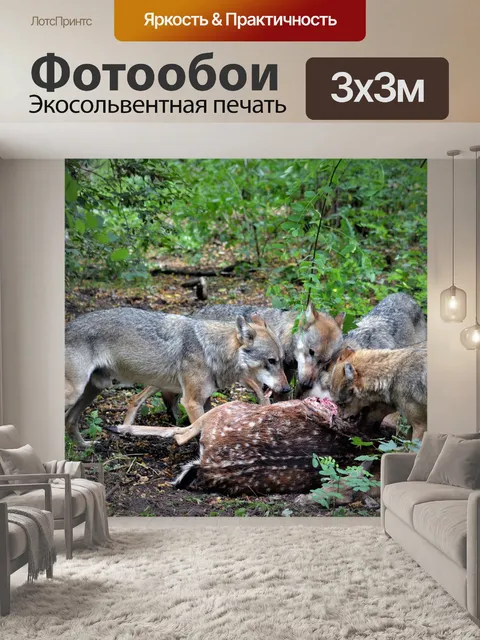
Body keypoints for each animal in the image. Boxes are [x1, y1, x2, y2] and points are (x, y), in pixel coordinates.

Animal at [65, 308, 289, 448]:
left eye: (282, 360)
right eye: (271, 361)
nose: (287, 389)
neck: (211, 351)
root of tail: (67, 326)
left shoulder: (204, 402)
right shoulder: (190, 402)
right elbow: (199, 431)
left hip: (95, 389)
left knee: (70, 420)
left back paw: (86, 447)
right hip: (76, 392)